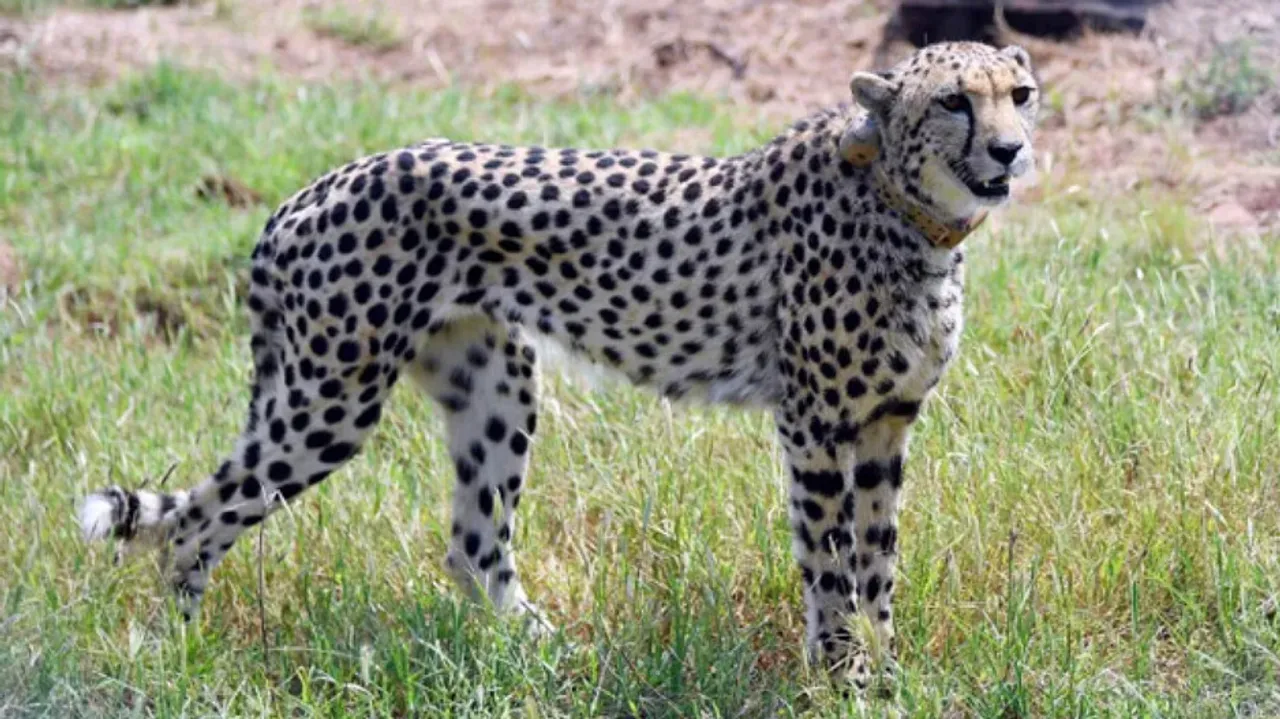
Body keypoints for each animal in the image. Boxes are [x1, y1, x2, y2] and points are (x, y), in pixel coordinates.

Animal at [78, 41, 1039, 685]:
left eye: (1020, 94)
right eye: (954, 101)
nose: (1010, 149)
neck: (910, 212)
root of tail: (310, 189)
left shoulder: (885, 424)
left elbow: (879, 561)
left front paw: (888, 670)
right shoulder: (815, 424)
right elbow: (831, 562)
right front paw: (845, 677)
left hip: (494, 383)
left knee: (473, 546)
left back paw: (548, 656)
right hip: (330, 399)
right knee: (197, 520)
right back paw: (180, 653)